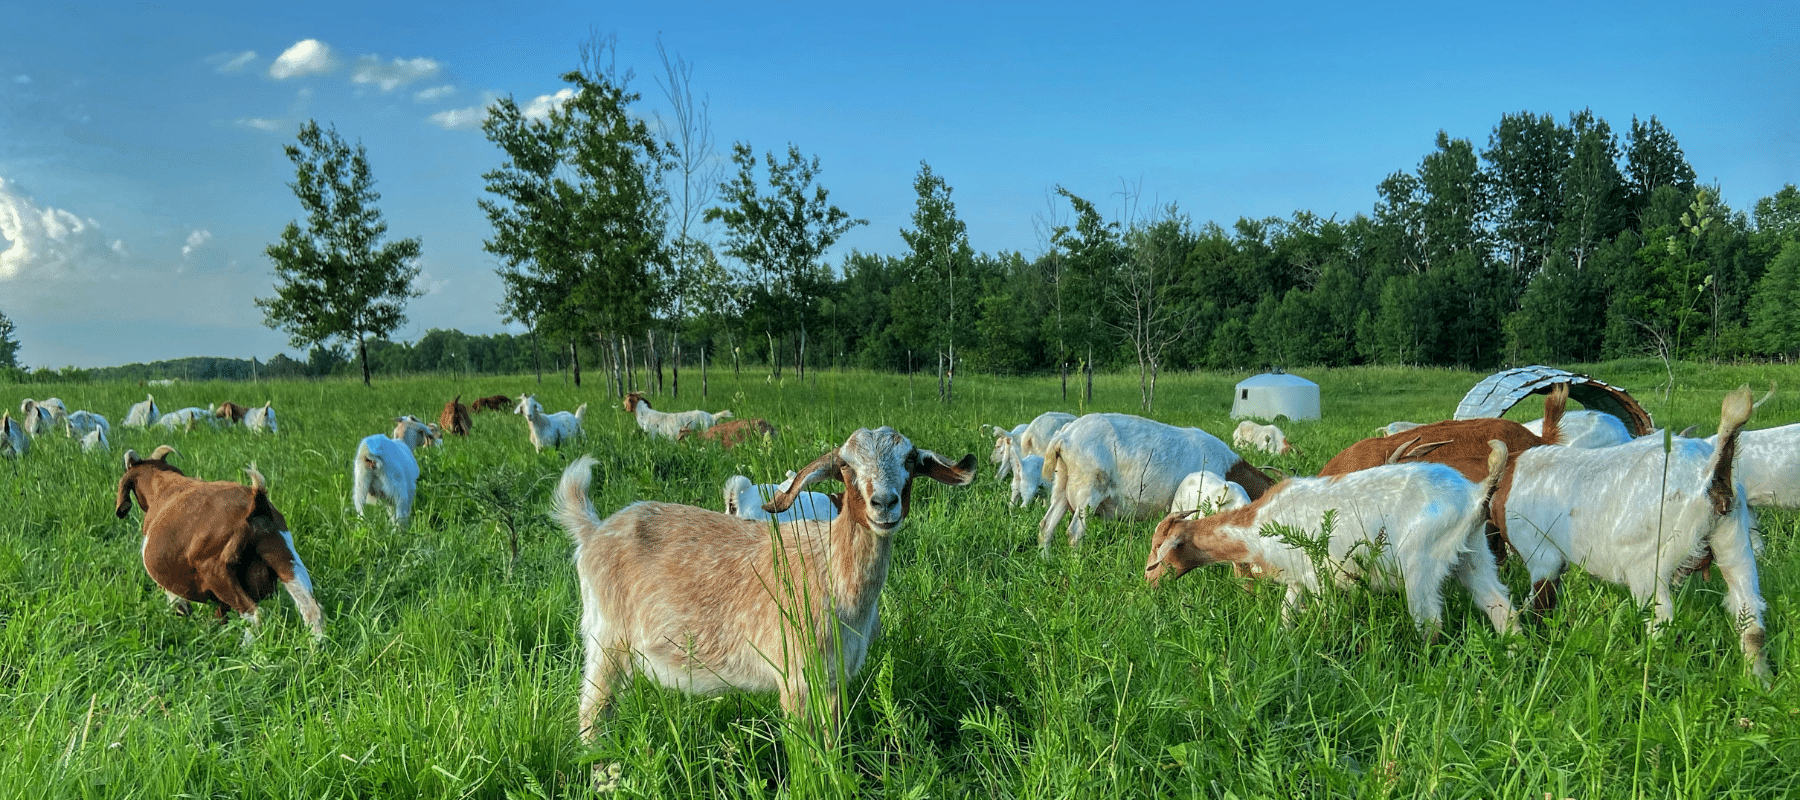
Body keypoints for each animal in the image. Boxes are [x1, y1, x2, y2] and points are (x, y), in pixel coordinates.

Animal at [114, 446, 323, 641]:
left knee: (254, 614)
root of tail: (256, 502)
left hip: (216, 572)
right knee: (311, 608)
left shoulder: (170, 586)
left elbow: (179, 604)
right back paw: (316, 645)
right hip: (284, 556)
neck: (162, 485)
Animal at [553, 427, 976, 743]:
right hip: (606, 641)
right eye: (844, 465)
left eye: (910, 460)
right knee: (591, 712)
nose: (884, 504)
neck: (832, 572)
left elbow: (832, 740)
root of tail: (593, 531)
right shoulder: (794, 677)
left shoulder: (836, 679)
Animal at [1038, 412, 1278, 557]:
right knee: (1074, 531)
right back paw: (1077, 564)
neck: (1229, 469)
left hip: (1062, 485)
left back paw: (1046, 559)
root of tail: (1066, 435)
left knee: (1046, 525)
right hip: (1088, 489)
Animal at [1146, 441, 1518, 638]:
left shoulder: (1318, 576)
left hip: (1420, 565)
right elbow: (1286, 614)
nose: (1148, 581)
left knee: (1430, 624)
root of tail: (1475, 493)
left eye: (1158, 550)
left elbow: (1324, 617)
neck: (1256, 524)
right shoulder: (1296, 580)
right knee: (1501, 610)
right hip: (1474, 557)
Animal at [1496, 386, 1769, 678]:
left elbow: (1541, 601)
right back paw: (1758, 681)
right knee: (1751, 621)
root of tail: (1710, 474)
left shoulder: (1541, 555)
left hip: (1648, 564)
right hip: (1734, 544)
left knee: (1662, 619)